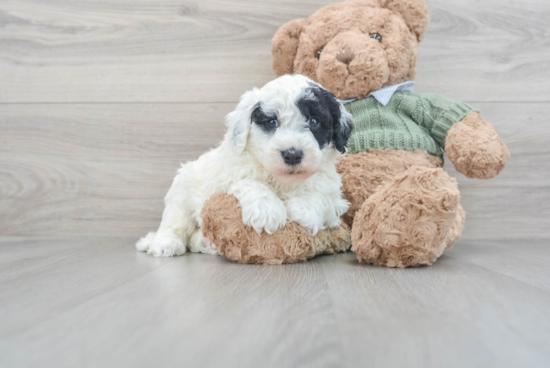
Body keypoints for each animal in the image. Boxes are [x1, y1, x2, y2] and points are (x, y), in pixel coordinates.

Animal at [136, 74, 356, 258]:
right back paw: (166, 243)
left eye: (314, 121)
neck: (282, 180)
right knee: (174, 225)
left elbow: (323, 198)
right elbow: (250, 181)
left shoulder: (334, 196)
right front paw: (267, 210)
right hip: (182, 189)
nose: (292, 154)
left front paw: (302, 208)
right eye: (272, 122)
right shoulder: (228, 175)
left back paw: (206, 243)